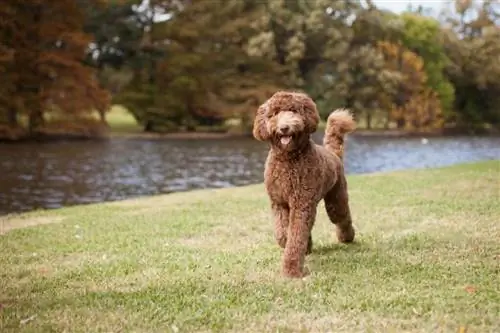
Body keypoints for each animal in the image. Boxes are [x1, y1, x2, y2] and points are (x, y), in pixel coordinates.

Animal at [254, 89, 356, 276]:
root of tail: (333, 154)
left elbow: (295, 237)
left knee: (342, 217)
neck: (288, 159)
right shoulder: (279, 202)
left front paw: (291, 271)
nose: (284, 128)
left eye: (293, 111)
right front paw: (289, 242)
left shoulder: (301, 203)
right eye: (274, 114)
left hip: (336, 199)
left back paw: (347, 237)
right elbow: (283, 233)